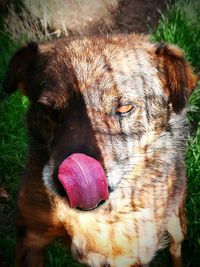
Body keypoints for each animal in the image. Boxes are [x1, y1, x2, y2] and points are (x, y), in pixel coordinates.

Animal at [2, 34, 197, 266]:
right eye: (47, 110)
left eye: (124, 108)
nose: (65, 184)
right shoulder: (30, 237)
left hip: (176, 221)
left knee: (176, 247)